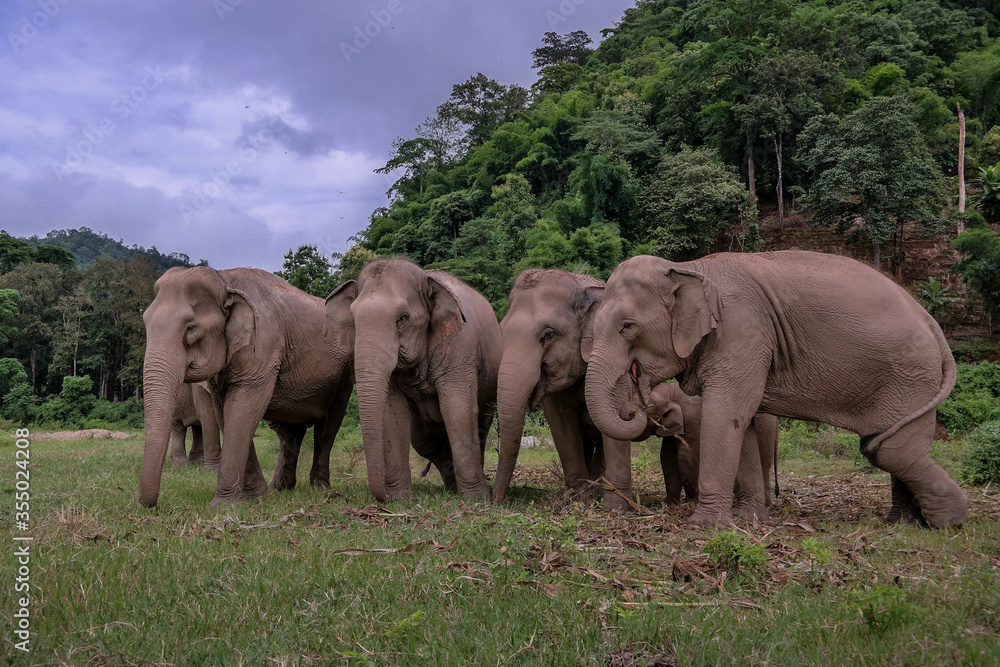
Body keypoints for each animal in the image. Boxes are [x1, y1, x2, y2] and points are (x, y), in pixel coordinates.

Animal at [139, 266, 358, 506]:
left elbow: (242, 408)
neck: (225, 280)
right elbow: (225, 413)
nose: (152, 505)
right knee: (290, 433)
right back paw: (279, 489)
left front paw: (223, 505)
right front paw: (254, 497)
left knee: (325, 430)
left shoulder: (264, 345)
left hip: (342, 377)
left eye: (191, 327)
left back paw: (319, 489)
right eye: (145, 321)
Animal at [328, 256, 500, 500]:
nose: (384, 496)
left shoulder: (460, 348)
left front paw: (476, 498)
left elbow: (457, 409)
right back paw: (450, 484)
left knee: (479, 425)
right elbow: (392, 414)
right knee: (424, 441)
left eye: (403, 318)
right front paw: (400, 498)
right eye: (353, 320)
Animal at [640, 384, 780, 508]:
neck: (670, 391)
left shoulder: (692, 422)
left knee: (764, 466)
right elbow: (667, 457)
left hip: (765, 430)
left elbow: (686, 457)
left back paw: (765, 505)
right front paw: (669, 504)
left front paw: (691, 504)